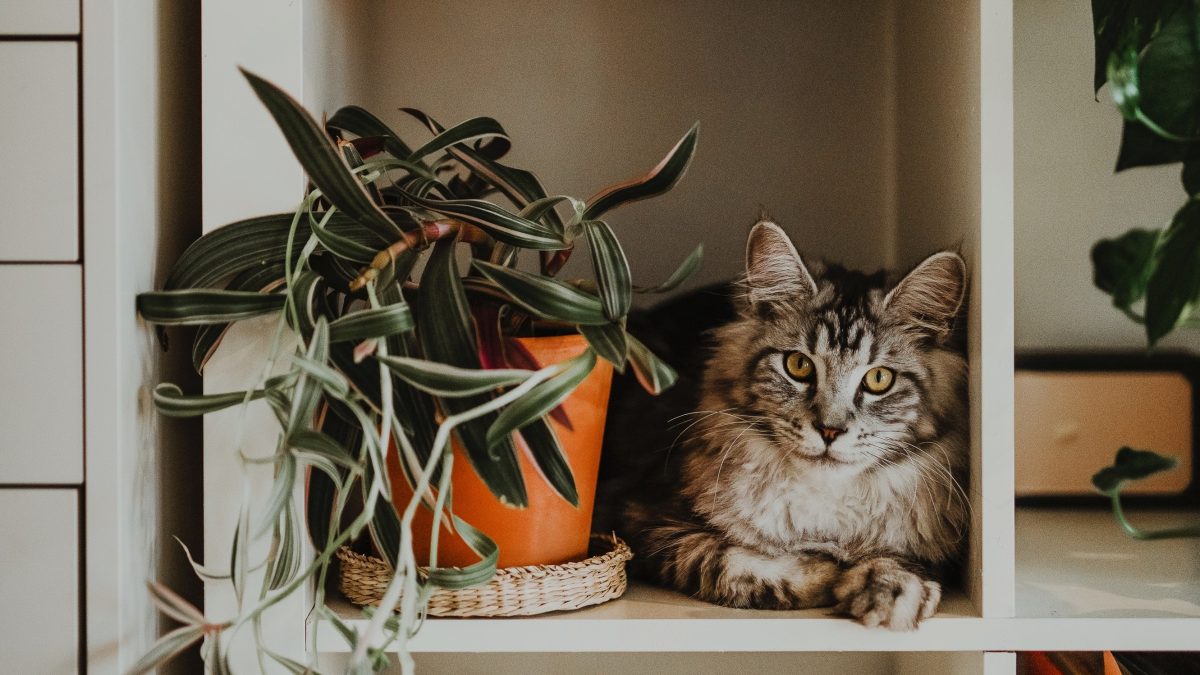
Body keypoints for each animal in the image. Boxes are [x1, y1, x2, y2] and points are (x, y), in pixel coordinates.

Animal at [595, 218, 969, 629]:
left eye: (878, 379)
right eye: (798, 365)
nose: (830, 430)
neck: (824, 507)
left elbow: (898, 560)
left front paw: (893, 592)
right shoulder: (642, 517)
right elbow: (729, 562)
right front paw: (830, 572)